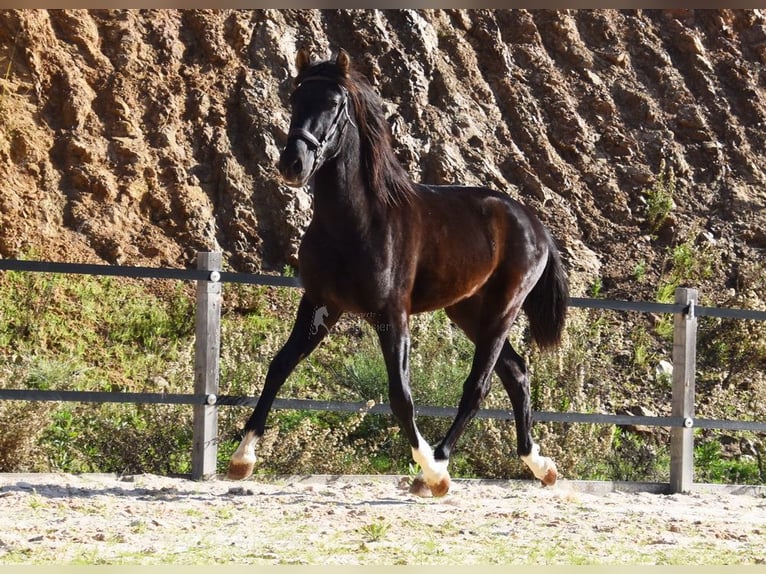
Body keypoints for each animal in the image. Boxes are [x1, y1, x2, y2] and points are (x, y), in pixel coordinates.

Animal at [228, 50, 568, 500]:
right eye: (296, 98)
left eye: (334, 104)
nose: (293, 164)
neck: (356, 223)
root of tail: (532, 221)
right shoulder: (320, 306)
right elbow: (279, 367)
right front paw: (242, 458)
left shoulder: (392, 316)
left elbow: (401, 396)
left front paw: (433, 474)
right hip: (468, 311)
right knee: (516, 373)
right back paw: (540, 465)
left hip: (502, 311)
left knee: (479, 386)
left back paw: (438, 466)